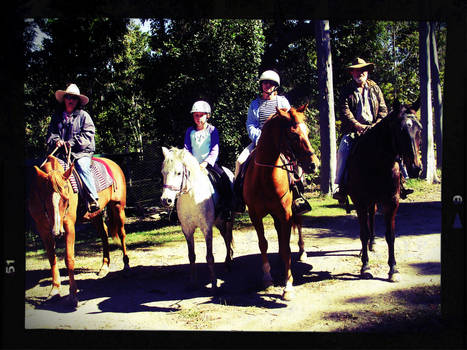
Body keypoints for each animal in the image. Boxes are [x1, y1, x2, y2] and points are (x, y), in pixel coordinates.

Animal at [27, 155, 130, 306]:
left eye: (66, 199)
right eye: (45, 199)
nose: (57, 232)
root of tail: (113, 163)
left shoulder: (69, 226)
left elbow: (69, 259)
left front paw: (73, 294)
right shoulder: (43, 229)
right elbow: (52, 258)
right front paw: (55, 290)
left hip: (118, 207)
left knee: (122, 234)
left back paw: (126, 264)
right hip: (95, 214)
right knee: (104, 234)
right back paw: (104, 266)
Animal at [162, 146, 234, 290]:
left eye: (179, 173)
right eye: (163, 173)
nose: (166, 200)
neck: (191, 198)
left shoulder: (207, 229)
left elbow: (210, 257)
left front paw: (214, 284)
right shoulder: (187, 229)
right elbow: (191, 256)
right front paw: (193, 282)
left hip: (229, 219)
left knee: (228, 237)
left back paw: (229, 262)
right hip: (219, 222)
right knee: (225, 237)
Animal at [243, 105, 320, 300]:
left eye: (308, 131)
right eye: (293, 134)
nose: (314, 164)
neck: (264, 177)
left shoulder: (286, 213)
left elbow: (287, 248)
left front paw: (288, 286)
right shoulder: (255, 215)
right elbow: (263, 244)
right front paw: (267, 277)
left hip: (292, 211)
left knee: (298, 227)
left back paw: (302, 252)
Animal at [348, 98, 424, 282]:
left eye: (420, 129)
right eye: (400, 130)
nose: (416, 168)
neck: (376, 163)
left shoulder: (392, 202)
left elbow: (390, 235)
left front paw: (393, 269)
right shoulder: (360, 202)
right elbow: (363, 233)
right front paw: (365, 266)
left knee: (372, 218)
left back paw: (372, 244)